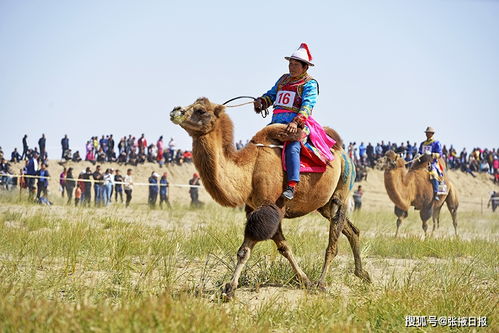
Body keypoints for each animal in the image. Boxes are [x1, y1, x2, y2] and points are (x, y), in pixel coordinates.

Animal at [172, 97, 372, 300]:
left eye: (200, 110)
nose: (175, 111)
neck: (250, 169)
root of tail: (344, 154)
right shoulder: (257, 209)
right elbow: (274, 248)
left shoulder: (271, 208)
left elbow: (254, 246)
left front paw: (230, 289)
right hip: (324, 204)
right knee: (352, 230)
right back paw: (362, 274)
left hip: (342, 190)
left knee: (333, 241)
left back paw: (322, 283)